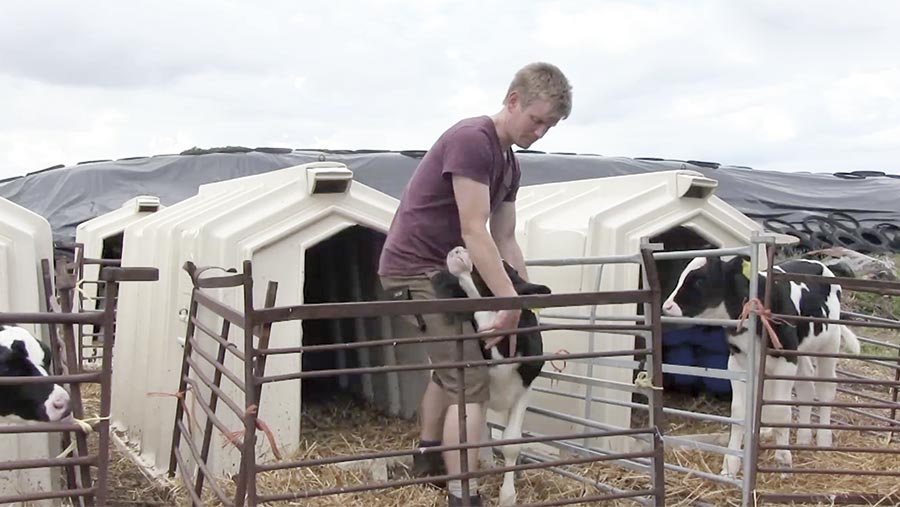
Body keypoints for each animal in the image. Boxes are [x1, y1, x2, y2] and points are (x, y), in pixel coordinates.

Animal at [430, 247, 548, 507]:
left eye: (502, 267)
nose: (458, 248)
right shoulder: (479, 393)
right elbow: (475, 437)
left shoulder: (525, 388)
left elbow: (511, 442)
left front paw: (508, 496)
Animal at [660, 256, 856, 478]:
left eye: (700, 280)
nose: (667, 306)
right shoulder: (737, 363)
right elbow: (739, 412)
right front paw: (730, 467)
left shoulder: (785, 361)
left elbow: (781, 410)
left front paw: (783, 460)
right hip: (801, 350)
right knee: (806, 385)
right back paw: (803, 438)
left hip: (829, 343)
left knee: (825, 389)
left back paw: (823, 440)